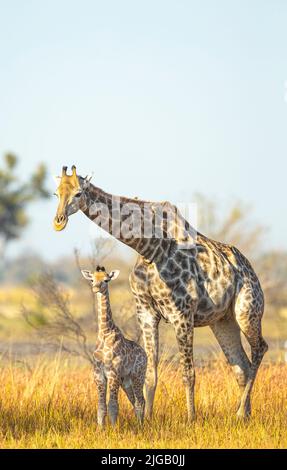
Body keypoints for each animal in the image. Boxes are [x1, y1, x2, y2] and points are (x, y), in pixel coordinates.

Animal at [82, 264, 147, 426]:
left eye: (106, 279)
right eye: (92, 279)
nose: (95, 288)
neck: (105, 333)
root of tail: (145, 354)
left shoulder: (113, 373)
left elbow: (112, 405)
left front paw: (113, 429)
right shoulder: (98, 374)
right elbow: (101, 406)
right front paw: (101, 429)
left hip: (138, 375)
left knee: (141, 401)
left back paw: (141, 426)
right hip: (126, 381)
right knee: (134, 400)